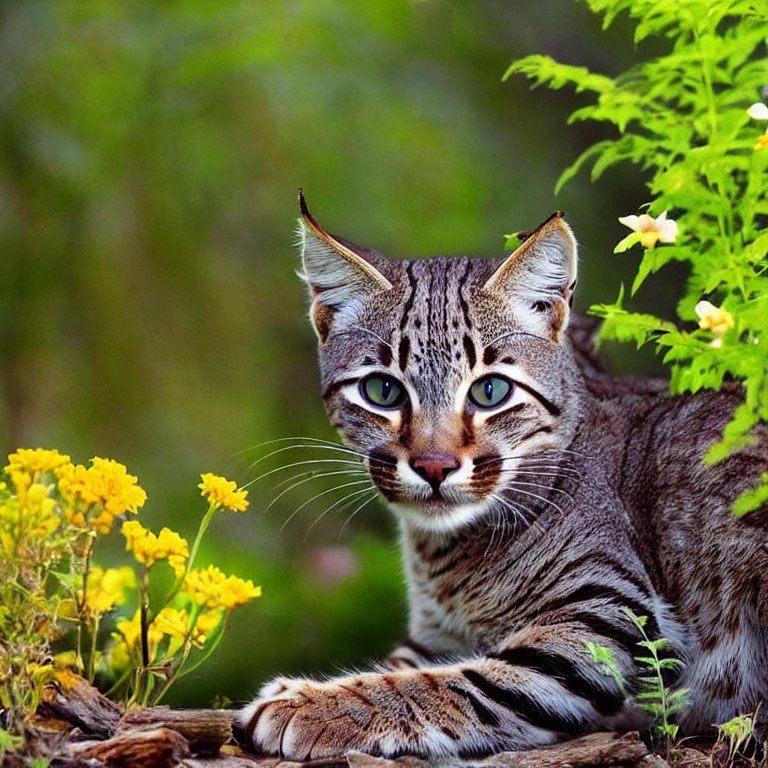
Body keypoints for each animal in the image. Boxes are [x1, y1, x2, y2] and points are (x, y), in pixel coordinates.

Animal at [238, 194, 768, 760]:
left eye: (490, 392)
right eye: (383, 391)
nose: (434, 466)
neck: (444, 553)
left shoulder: (606, 614)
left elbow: (457, 682)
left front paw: (320, 705)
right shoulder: (435, 634)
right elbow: (406, 664)